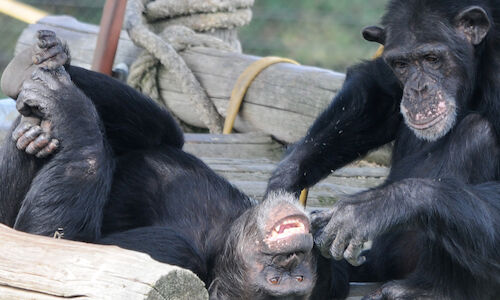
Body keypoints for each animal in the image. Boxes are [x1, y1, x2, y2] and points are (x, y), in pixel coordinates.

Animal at [0, 31, 352, 298]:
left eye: (290, 278)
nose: (292, 254)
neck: (223, 236)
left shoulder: (175, 254)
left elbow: (57, 242)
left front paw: (65, 102)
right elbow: (162, 132)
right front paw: (50, 62)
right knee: (160, 127)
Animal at [268, 0, 500, 300]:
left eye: (432, 59)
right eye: (401, 64)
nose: (418, 89)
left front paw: (373, 208)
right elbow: (380, 88)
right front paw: (286, 178)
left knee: (477, 134)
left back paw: (431, 287)